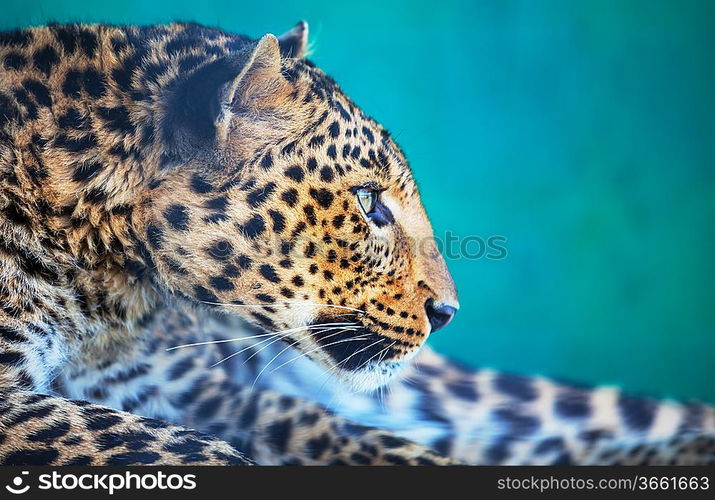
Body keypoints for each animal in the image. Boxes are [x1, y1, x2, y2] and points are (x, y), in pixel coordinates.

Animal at [0, 20, 713, 466]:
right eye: (370, 205)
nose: (448, 313)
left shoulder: (193, 392)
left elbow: (339, 432)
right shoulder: (26, 405)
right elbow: (196, 450)